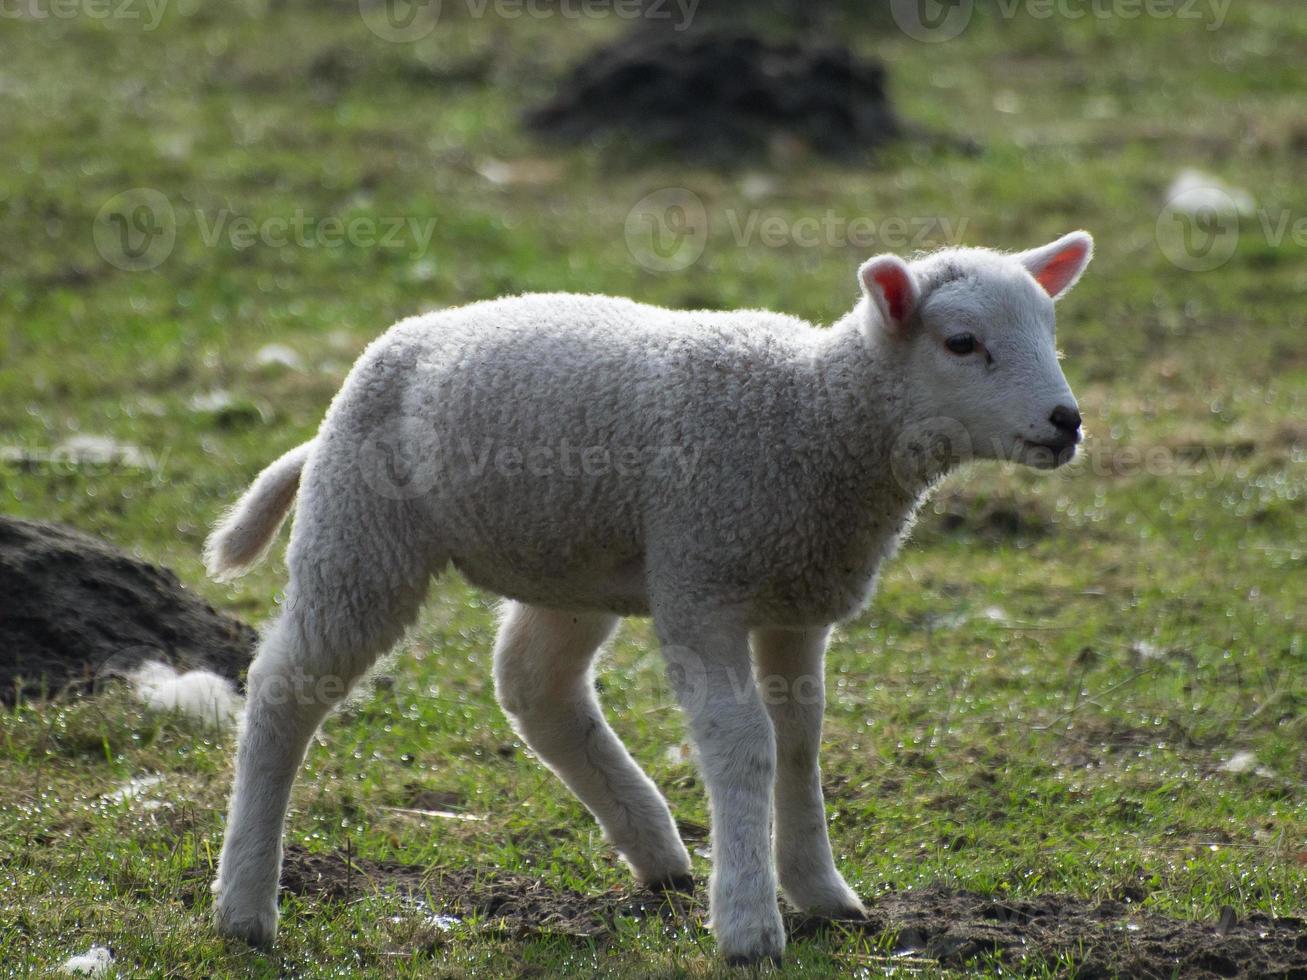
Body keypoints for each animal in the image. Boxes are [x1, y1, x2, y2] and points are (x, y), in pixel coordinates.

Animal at [203, 232, 1092, 966]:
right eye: (961, 342)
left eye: (1050, 333)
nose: (1066, 421)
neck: (816, 414)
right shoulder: (703, 582)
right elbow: (744, 742)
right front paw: (748, 925)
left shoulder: (796, 598)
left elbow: (799, 743)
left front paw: (820, 891)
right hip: (360, 535)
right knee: (284, 689)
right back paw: (244, 906)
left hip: (566, 563)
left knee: (536, 687)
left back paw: (656, 850)